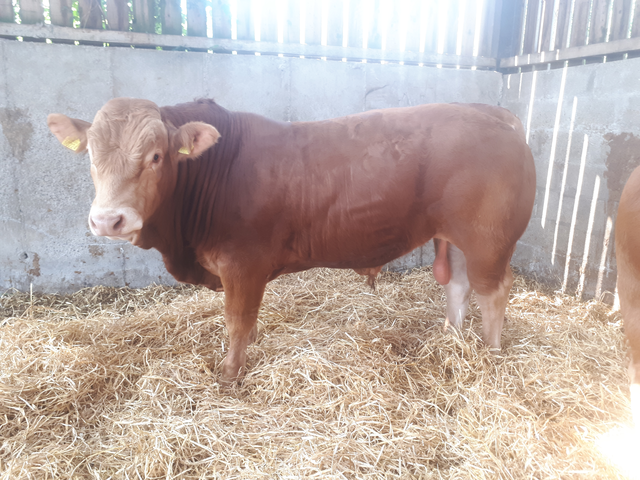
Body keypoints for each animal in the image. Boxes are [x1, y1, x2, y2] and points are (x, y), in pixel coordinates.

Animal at [47, 98, 536, 386]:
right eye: (90, 156)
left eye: (155, 156)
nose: (109, 220)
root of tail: (498, 114)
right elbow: (248, 322)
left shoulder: (242, 264)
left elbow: (236, 321)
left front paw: (229, 375)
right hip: (454, 238)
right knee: (458, 286)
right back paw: (451, 338)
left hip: (488, 240)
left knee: (494, 292)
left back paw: (491, 355)